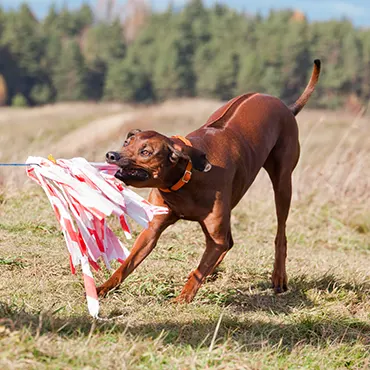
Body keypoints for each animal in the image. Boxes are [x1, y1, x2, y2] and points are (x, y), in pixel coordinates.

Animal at [98, 60, 320, 304]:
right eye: (127, 142)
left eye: (145, 152)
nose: (111, 155)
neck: (185, 179)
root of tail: (286, 108)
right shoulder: (153, 229)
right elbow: (127, 264)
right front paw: (102, 288)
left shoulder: (215, 234)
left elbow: (199, 270)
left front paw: (182, 299)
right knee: (228, 242)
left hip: (282, 182)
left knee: (280, 233)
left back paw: (278, 276)